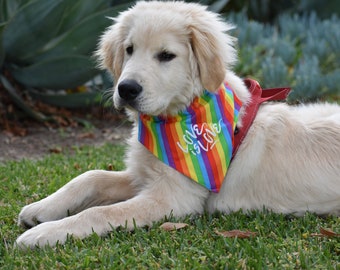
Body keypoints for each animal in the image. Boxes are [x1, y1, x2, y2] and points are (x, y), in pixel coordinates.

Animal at [16, 1, 340, 248]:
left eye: (166, 56)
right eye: (129, 49)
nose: (126, 89)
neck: (181, 116)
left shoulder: (174, 198)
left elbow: (99, 213)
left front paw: (44, 234)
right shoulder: (143, 175)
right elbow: (91, 176)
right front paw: (42, 208)